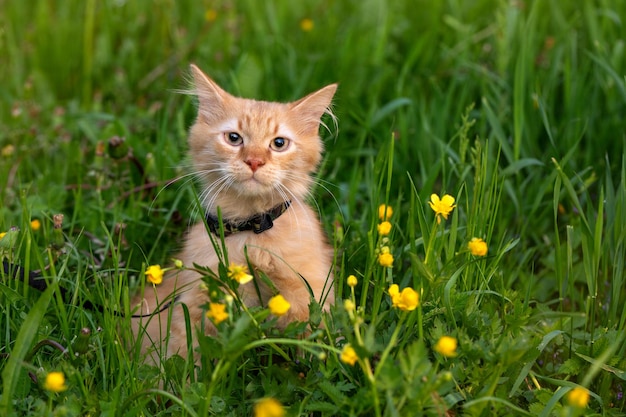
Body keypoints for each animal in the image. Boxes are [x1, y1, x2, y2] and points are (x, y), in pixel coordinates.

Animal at [131, 64, 336, 360]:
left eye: (279, 143)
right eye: (234, 138)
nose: (254, 161)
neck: (251, 230)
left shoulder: (307, 291)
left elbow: (314, 345)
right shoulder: (196, 299)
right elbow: (184, 355)